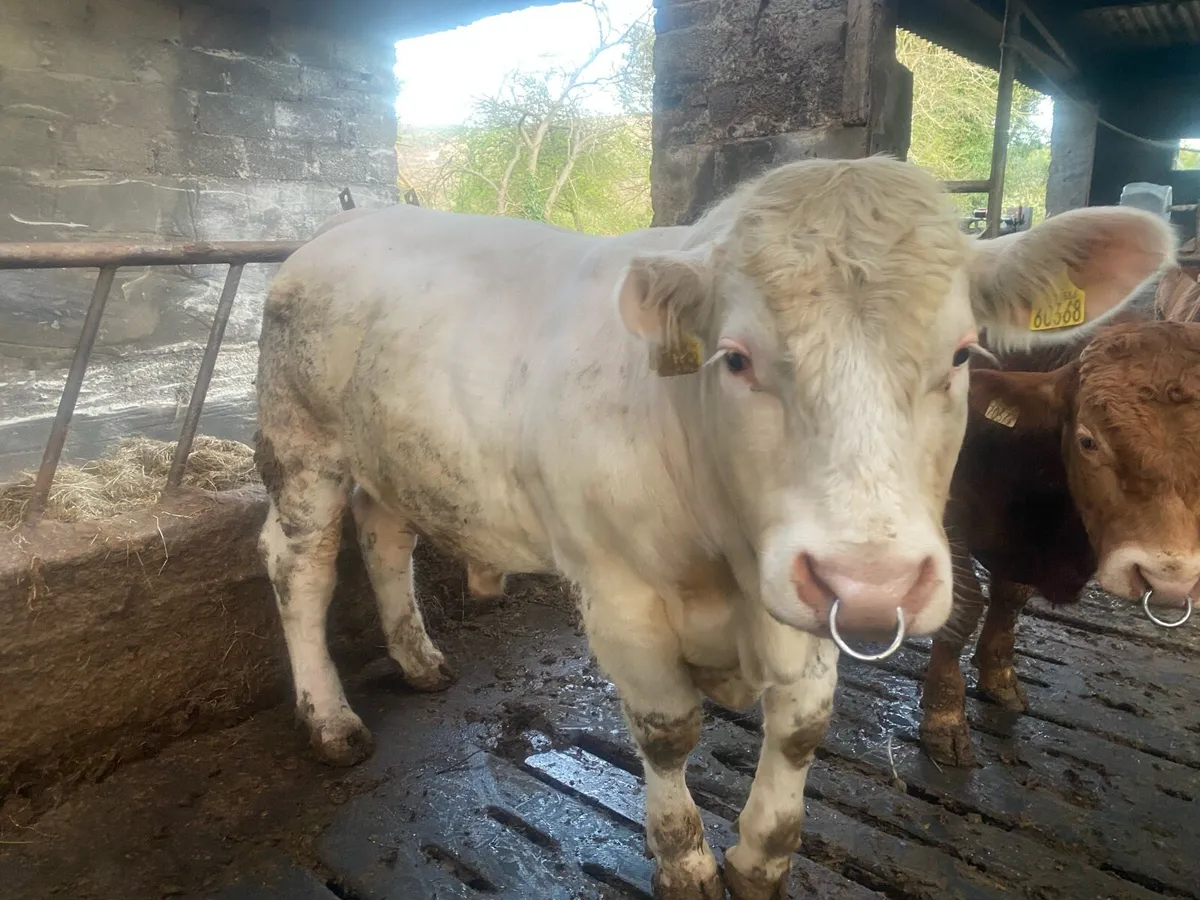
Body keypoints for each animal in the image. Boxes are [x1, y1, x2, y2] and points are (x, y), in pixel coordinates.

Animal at [921, 273, 1200, 767]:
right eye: (1088, 441)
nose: (1169, 578)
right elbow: (962, 608)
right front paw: (944, 717)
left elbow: (1011, 598)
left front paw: (999, 676)